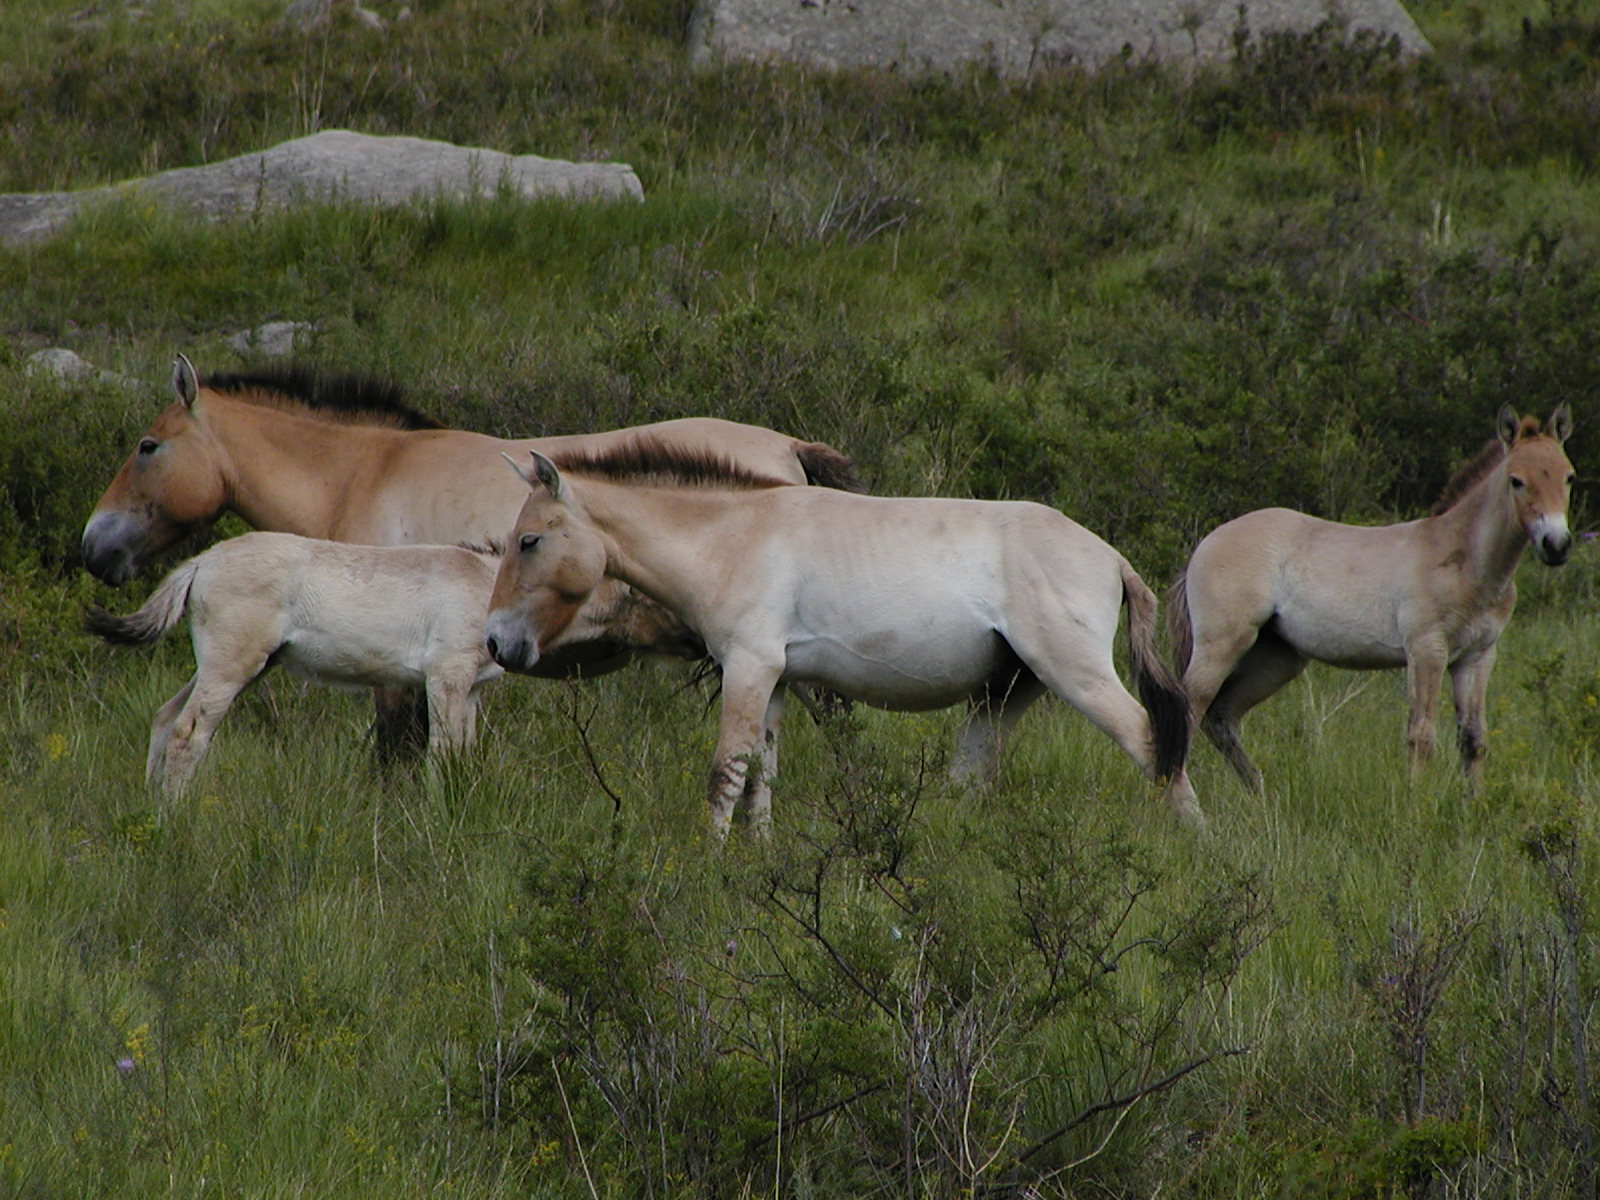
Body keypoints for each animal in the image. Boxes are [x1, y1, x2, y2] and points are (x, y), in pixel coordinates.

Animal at [81, 356, 860, 753]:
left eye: (147, 446)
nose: (94, 546)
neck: (365, 473)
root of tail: (791, 450)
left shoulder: (402, 667)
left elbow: (397, 750)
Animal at [86, 533, 508, 797]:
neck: (484, 582)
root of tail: (202, 562)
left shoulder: (471, 690)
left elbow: (465, 751)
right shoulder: (446, 677)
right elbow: (443, 751)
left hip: (232, 667)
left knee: (164, 716)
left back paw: (153, 805)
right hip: (230, 666)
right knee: (187, 732)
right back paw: (175, 816)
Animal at [481, 440, 1201, 834]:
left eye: (529, 541)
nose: (493, 642)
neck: (732, 537)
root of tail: (1112, 556)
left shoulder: (747, 669)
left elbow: (724, 775)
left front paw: (708, 864)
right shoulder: (774, 682)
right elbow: (761, 777)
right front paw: (759, 862)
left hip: (1075, 675)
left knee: (1150, 743)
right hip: (1006, 693)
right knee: (973, 776)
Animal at [1168, 405, 1574, 791]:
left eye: (1569, 476)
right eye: (1516, 480)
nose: (1556, 545)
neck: (1463, 561)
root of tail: (1205, 544)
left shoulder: (1477, 656)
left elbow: (1473, 739)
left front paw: (1473, 804)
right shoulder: (1426, 650)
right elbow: (1421, 735)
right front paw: (1417, 802)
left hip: (1276, 658)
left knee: (1221, 717)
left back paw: (1259, 794)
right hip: (1222, 645)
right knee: (1184, 712)